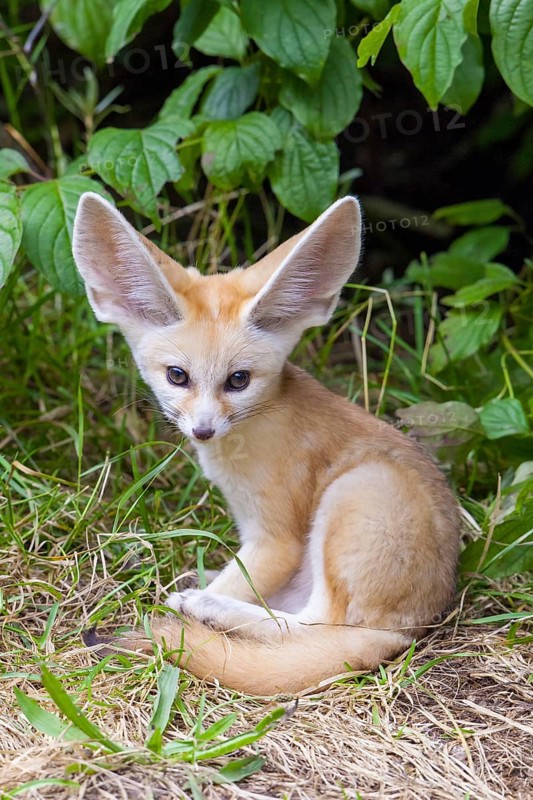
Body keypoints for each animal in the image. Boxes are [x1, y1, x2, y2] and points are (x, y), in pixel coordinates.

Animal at [72, 192, 461, 695]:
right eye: (177, 376)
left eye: (238, 380)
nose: (202, 430)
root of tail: (411, 629)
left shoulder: (277, 540)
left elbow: (242, 581)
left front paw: (197, 604)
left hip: (351, 496)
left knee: (311, 626)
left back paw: (208, 608)